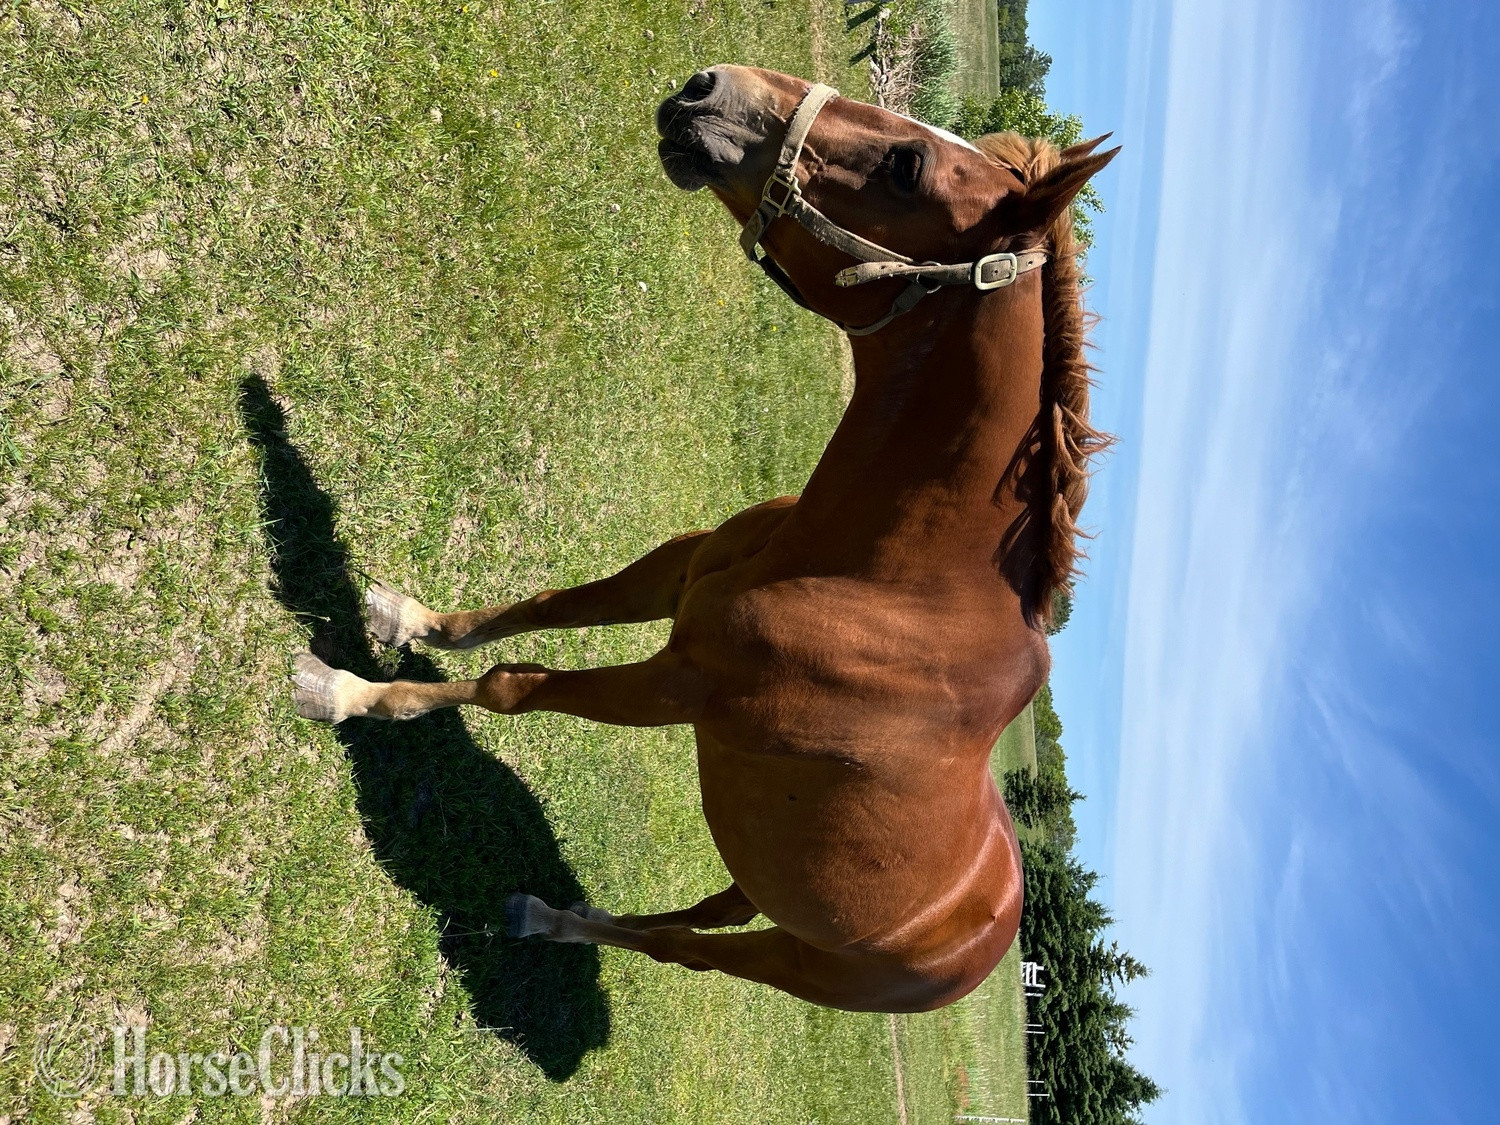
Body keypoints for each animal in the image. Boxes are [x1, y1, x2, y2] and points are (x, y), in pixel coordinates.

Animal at [291, 65, 1117, 1013]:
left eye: (907, 167)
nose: (708, 89)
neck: (886, 586)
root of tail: (991, 938)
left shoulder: (676, 687)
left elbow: (510, 686)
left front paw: (344, 690)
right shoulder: (681, 569)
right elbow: (545, 605)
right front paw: (406, 616)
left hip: (791, 960)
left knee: (685, 949)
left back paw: (554, 919)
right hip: (762, 886)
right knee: (696, 915)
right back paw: (556, 915)